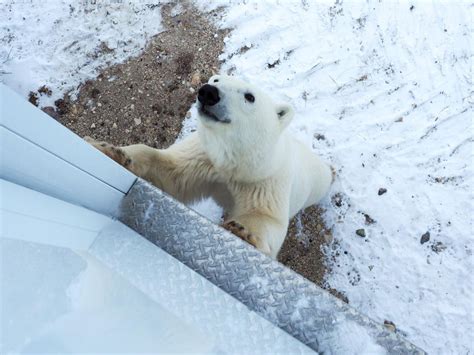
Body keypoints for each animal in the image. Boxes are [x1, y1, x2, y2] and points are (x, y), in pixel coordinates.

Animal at [88, 75, 334, 258]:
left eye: (249, 96)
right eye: (216, 79)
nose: (208, 92)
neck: (236, 162)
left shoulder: (264, 178)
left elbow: (265, 216)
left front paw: (243, 233)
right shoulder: (205, 158)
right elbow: (170, 171)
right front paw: (109, 150)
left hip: (316, 183)